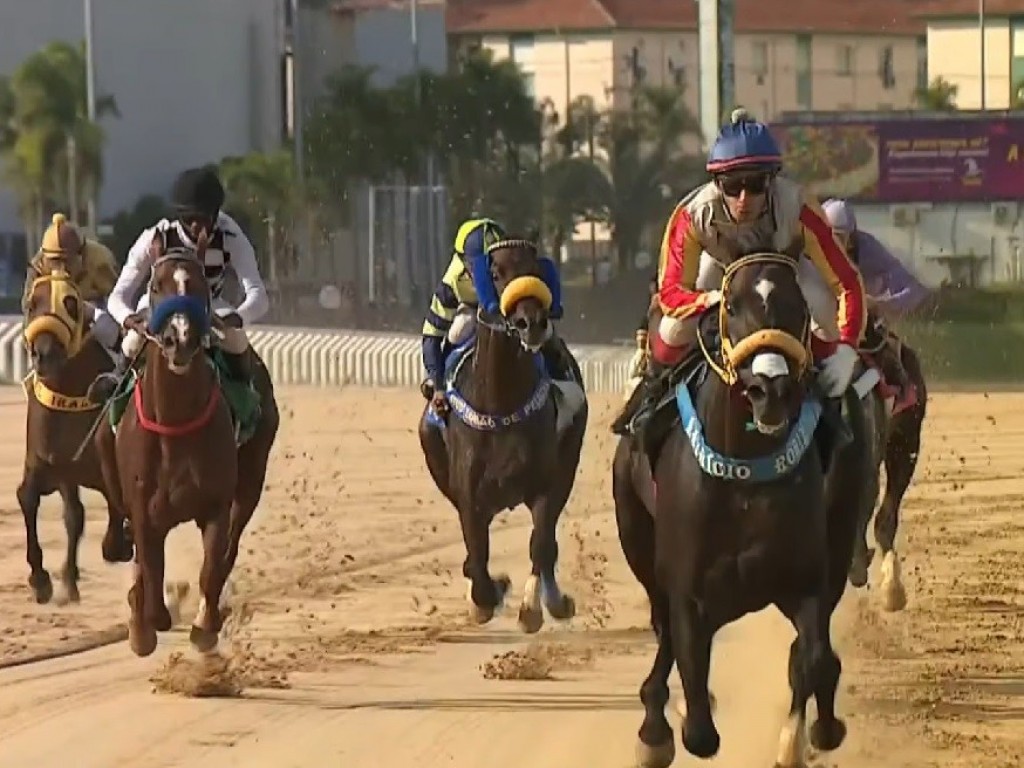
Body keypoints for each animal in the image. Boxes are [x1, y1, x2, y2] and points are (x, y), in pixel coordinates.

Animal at [20, 270, 133, 606]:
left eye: (71, 303)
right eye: (32, 303)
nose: (43, 355)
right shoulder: (49, 463)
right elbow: (32, 499)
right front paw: (42, 580)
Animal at [95, 236, 278, 663]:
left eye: (196, 284)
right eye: (155, 284)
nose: (180, 337)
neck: (176, 424)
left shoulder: (215, 506)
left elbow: (212, 567)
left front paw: (204, 628)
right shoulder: (144, 510)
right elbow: (149, 567)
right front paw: (145, 625)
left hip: (251, 478)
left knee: (230, 547)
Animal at [417, 241, 593, 638]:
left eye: (537, 269)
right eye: (495, 273)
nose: (531, 323)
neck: (501, 404)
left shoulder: (546, 483)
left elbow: (541, 544)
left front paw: (535, 609)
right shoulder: (469, 497)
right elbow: (478, 557)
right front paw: (489, 596)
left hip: (569, 461)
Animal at [610, 256, 868, 765]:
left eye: (799, 304)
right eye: (731, 305)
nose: (770, 388)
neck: (747, 473)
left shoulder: (806, 579)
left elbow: (814, 658)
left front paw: (816, 731)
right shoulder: (687, 587)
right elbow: (697, 716)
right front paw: (665, 727)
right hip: (636, 536)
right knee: (662, 626)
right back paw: (655, 724)